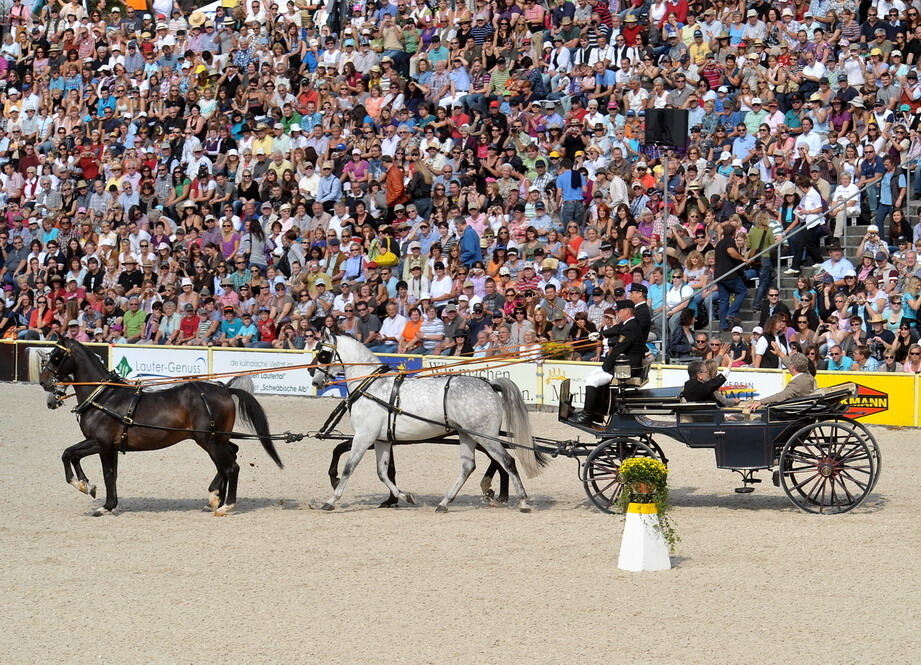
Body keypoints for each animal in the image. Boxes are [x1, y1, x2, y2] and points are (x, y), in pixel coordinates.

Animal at [39, 338, 282, 512]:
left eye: (57, 356)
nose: (44, 381)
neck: (105, 397)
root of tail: (224, 388)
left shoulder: (102, 443)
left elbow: (87, 463)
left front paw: (101, 502)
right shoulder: (108, 446)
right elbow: (84, 461)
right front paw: (91, 489)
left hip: (209, 440)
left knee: (231, 467)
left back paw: (226, 505)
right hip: (216, 439)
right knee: (230, 457)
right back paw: (215, 497)